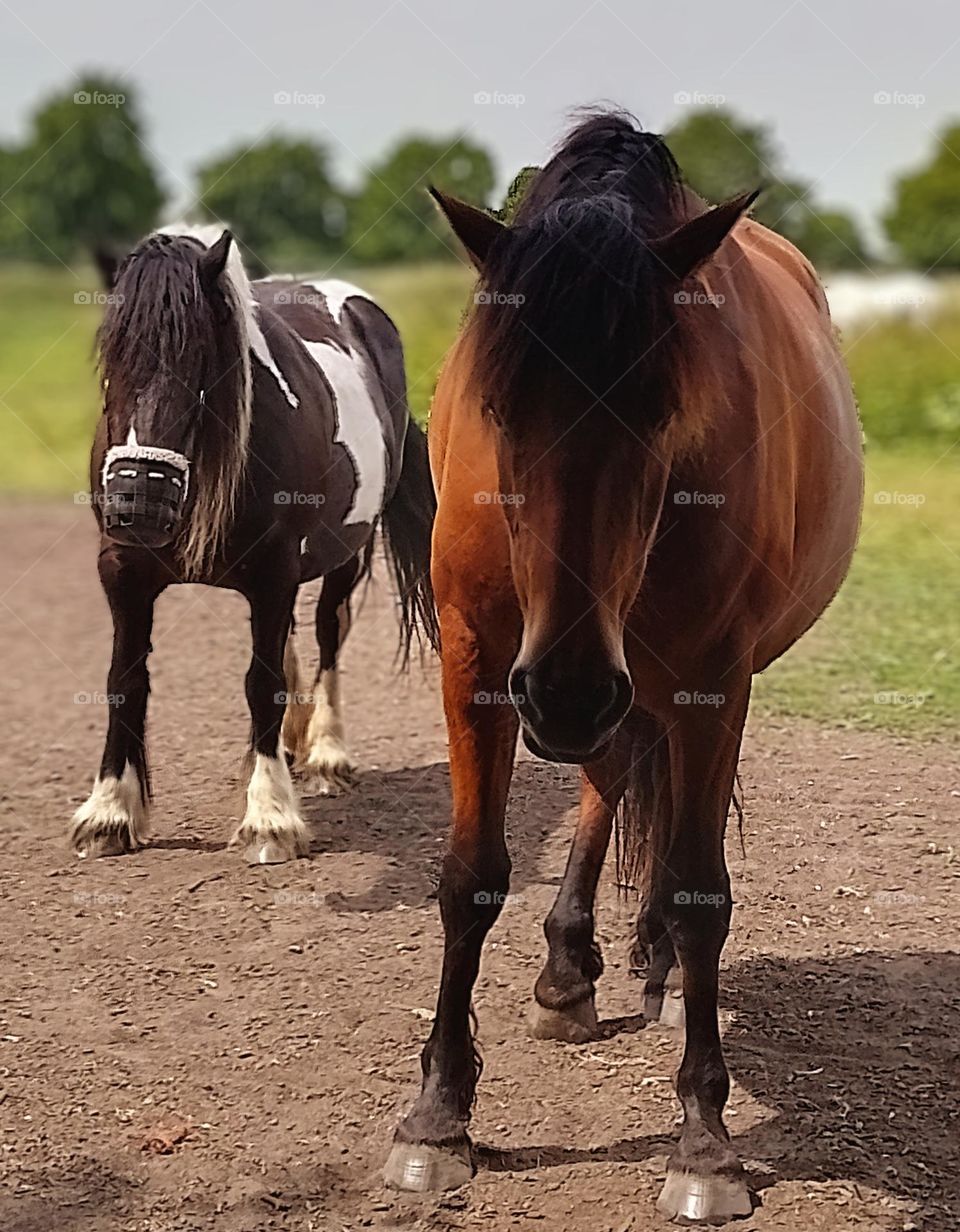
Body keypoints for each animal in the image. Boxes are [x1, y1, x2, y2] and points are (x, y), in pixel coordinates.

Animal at [71, 224, 438, 865]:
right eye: (113, 359)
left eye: (202, 366)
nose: (138, 501)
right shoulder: (122, 569)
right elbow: (124, 680)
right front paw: (110, 812)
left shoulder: (273, 572)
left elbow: (261, 683)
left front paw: (270, 817)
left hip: (347, 553)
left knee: (328, 631)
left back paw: (326, 752)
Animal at [383, 112, 863, 1224]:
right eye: (499, 408)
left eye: (660, 406)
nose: (562, 691)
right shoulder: (482, 658)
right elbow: (471, 875)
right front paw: (437, 1117)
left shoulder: (709, 676)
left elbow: (699, 888)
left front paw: (705, 1143)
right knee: (612, 777)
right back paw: (570, 970)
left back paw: (648, 959)